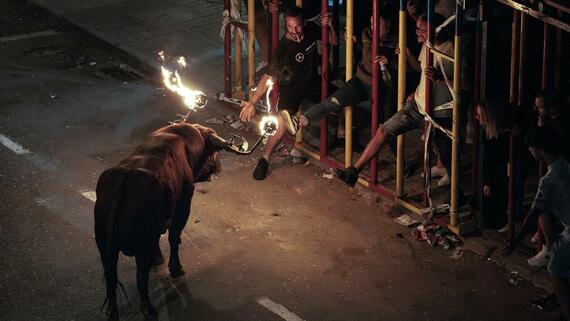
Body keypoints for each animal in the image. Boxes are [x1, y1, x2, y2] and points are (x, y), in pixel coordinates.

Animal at [93, 122, 226, 318]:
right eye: (213, 151)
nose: (219, 167)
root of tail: (124, 181)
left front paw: (158, 258)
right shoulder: (183, 205)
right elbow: (174, 237)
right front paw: (176, 267)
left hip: (105, 247)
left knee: (111, 280)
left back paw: (113, 311)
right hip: (142, 245)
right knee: (141, 277)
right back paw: (148, 308)